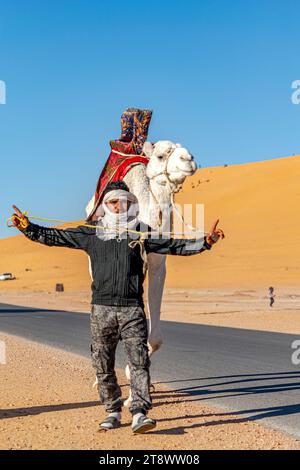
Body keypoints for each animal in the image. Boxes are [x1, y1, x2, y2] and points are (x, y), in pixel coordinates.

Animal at [85, 140, 197, 404]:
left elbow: (154, 337)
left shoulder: (157, 264)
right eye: (161, 155)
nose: (189, 159)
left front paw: (135, 376)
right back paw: (97, 379)